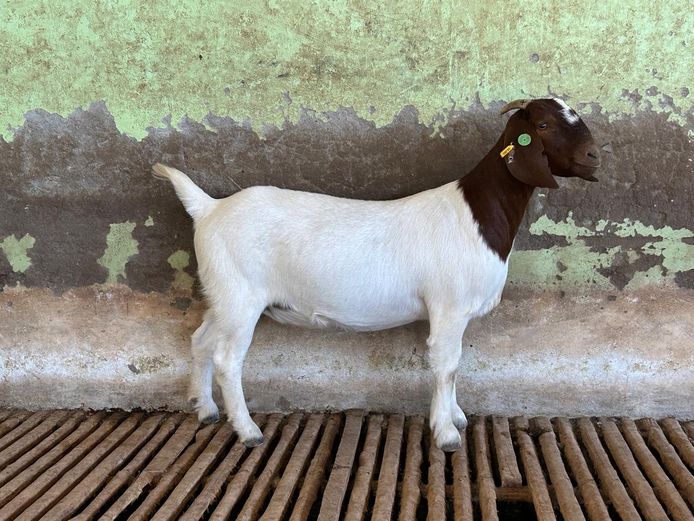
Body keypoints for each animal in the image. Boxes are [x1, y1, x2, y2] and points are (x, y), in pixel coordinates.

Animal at [153, 98, 601, 451]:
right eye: (542, 125)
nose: (596, 156)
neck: (475, 215)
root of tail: (208, 208)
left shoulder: (455, 314)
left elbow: (454, 365)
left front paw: (456, 416)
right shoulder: (449, 307)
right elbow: (447, 365)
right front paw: (447, 434)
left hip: (222, 296)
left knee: (200, 340)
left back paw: (205, 409)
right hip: (241, 299)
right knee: (227, 359)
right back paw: (247, 431)